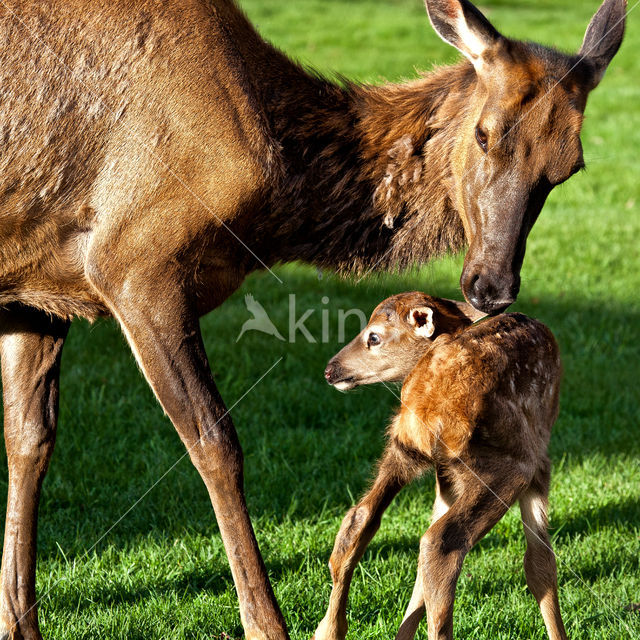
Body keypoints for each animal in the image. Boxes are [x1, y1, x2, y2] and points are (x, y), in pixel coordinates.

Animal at [316, 294, 564, 640]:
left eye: (373, 337)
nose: (330, 370)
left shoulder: (441, 475)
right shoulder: (539, 464)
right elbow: (541, 564)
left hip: (403, 448)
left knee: (360, 518)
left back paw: (329, 629)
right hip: (507, 468)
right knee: (442, 542)